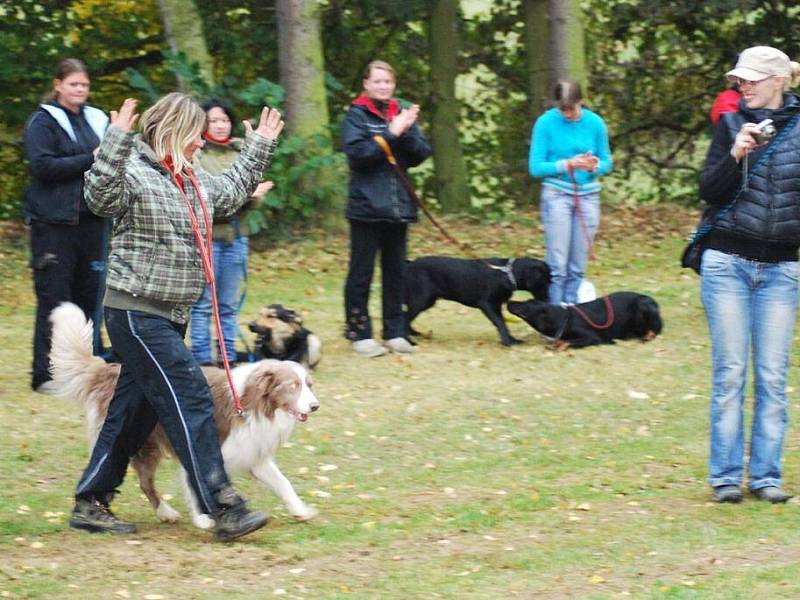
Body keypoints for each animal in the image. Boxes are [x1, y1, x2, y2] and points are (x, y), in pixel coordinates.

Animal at [406, 255, 552, 344]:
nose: (548, 300)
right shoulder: (487, 304)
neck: (506, 274)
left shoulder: (497, 305)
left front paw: (511, 339)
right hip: (422, 299)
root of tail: (411, 264)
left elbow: (502, 322)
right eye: (545, 282)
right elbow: (500, 323)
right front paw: (508, 342)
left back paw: (414, 333)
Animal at [506, 292, 664, 350]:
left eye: (526, 305)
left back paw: (645, 337)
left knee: (654, 331)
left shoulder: (592, 337)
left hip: (642, 304)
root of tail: (655, 303)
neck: (563, 318)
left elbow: (565, 342)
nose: (508, 301)